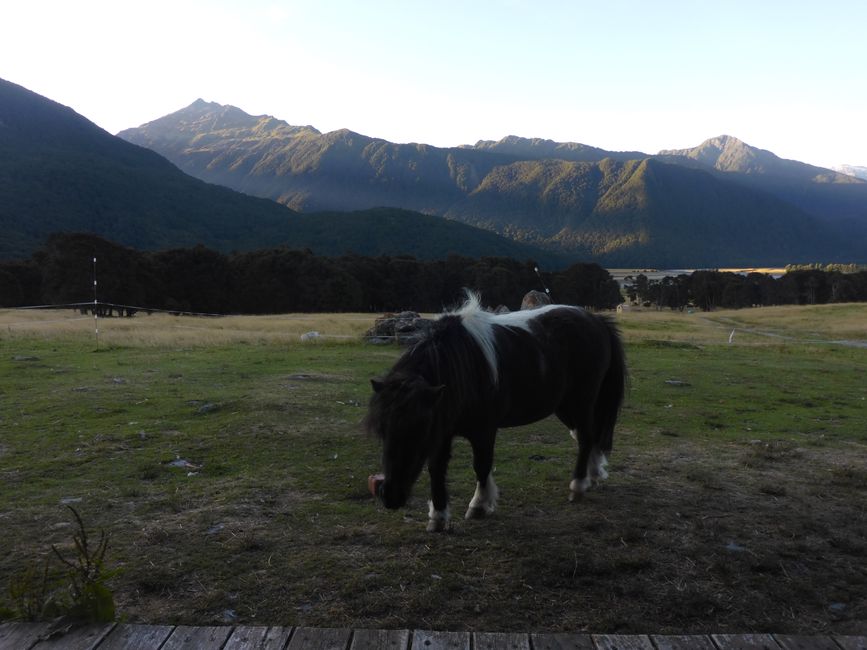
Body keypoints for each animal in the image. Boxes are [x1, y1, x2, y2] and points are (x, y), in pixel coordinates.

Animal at [364, 292, 627, 532]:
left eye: (419, 430)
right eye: (382, 430)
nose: (390, 496)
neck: (466, 365)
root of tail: (595, 320)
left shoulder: (482, 431)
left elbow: (481, 466)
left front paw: (479, 506)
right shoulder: (442, 429)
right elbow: (436, 468)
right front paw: (438, 517)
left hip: (581, 402)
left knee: (585, 438)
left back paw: (578, 486)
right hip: (564, 407)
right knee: (587, 436)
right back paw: (592, 475)